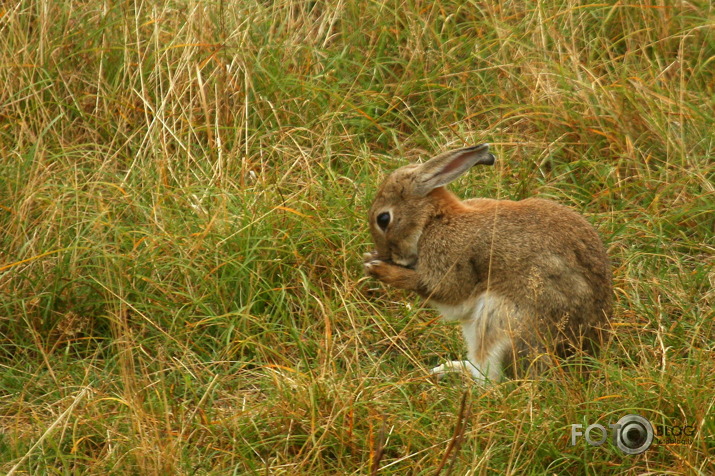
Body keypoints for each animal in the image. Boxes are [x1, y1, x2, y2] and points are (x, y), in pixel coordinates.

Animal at [366, 144, 612, 384]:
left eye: (383, 219)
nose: (387, 255)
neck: (433, 219)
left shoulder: (451, 264)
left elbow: (444, 291)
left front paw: (376, 268)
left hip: (500, 321)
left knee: (491, 379)